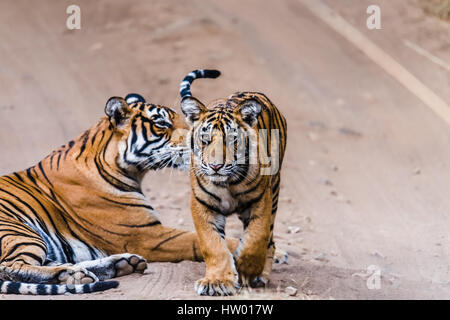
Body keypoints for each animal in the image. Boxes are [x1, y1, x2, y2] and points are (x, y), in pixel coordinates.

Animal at [178, 69, 286, 296]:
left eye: (232, 140)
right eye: (205, 139)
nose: (216, 166)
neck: (226, 183)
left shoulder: (261, 201)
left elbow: (256, 238)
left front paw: (245, 269)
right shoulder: (202, 205)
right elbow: (213, 245)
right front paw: (216, 281)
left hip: (274, 192)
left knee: (270, 240)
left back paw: (261, 275)